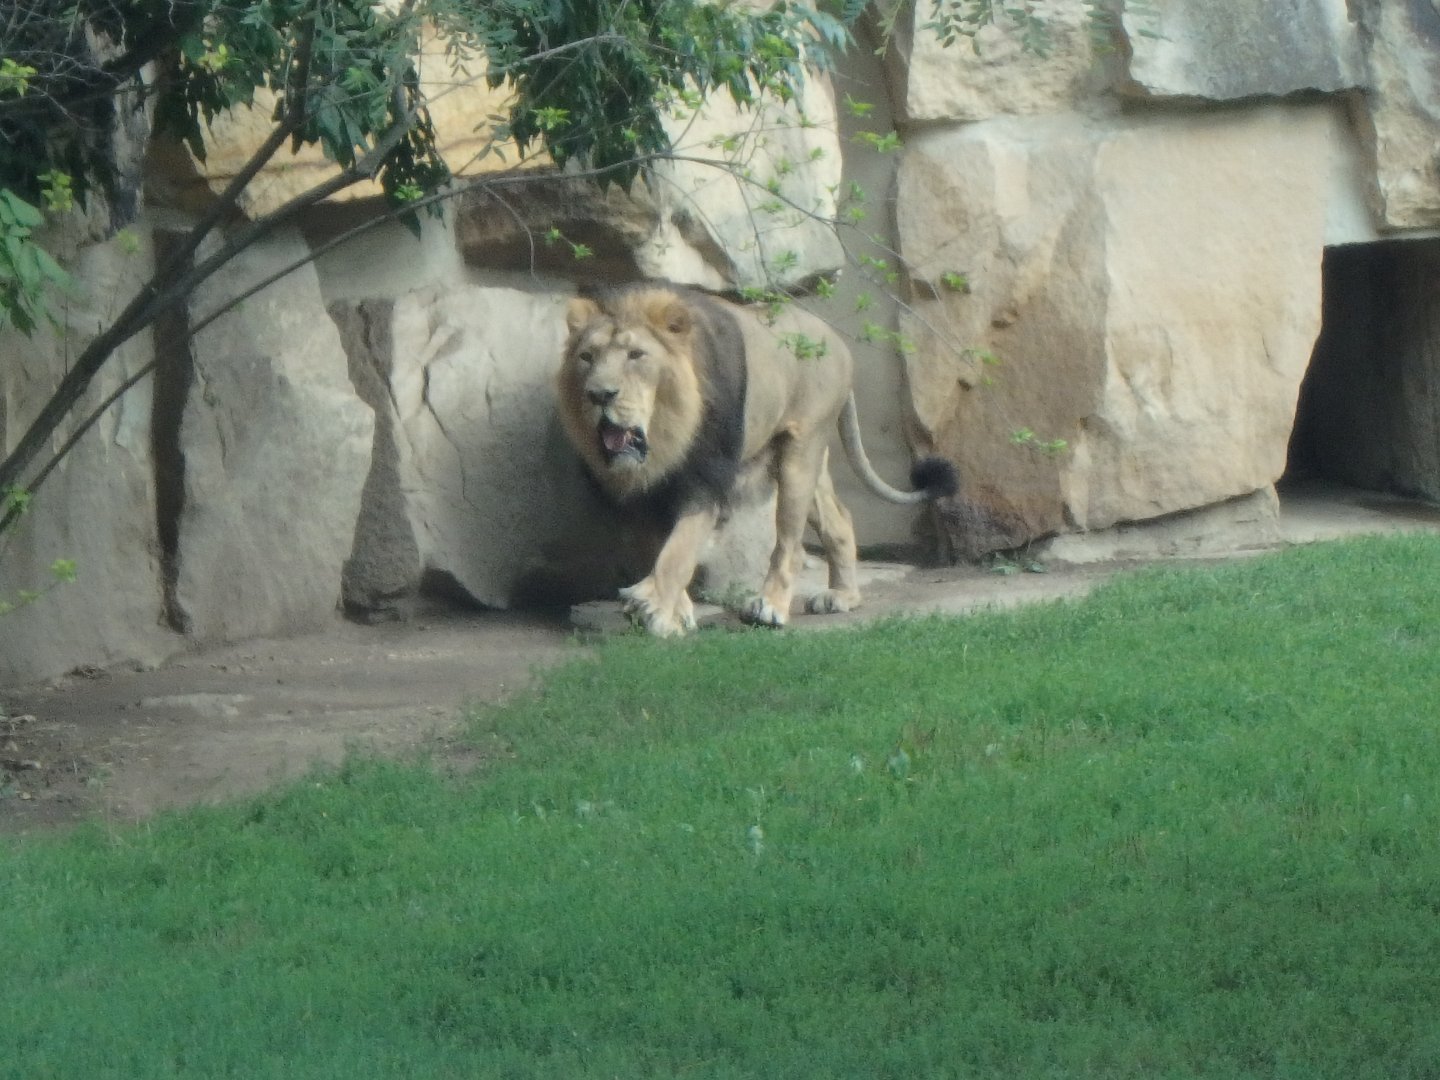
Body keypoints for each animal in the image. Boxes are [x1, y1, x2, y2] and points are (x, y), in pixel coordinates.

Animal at [558, 282, 957, 637]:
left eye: (636, 355)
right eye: (586, 357)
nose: (599, 394)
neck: (666, 437)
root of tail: (836, 340)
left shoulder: (707, 478)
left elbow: (679, 549)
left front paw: (652, 605)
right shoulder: (650, 491)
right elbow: (664, 548)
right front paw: (676, 611)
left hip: (801, 450)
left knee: (789, 544)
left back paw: (771, 607)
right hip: (807, 460)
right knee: (838, 520)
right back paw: (842, 595)